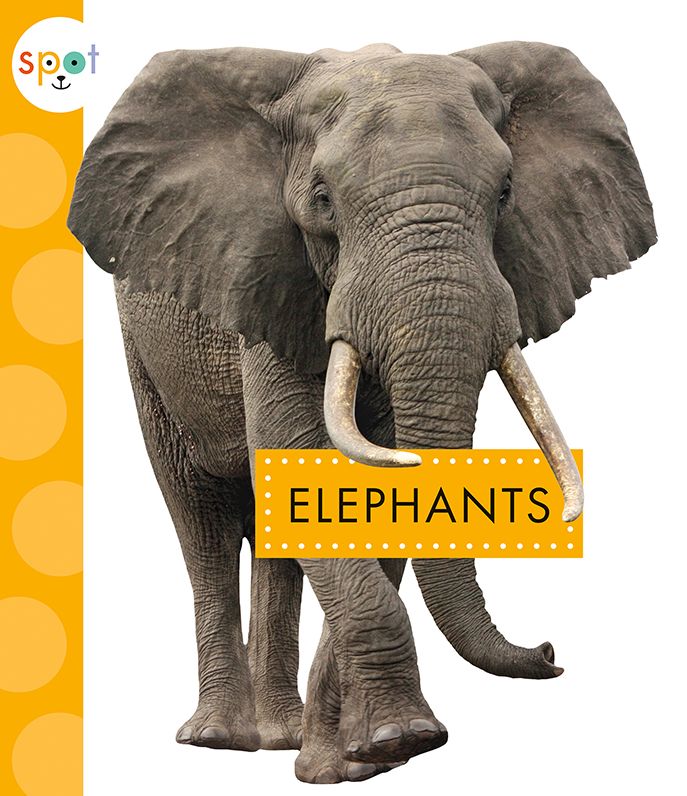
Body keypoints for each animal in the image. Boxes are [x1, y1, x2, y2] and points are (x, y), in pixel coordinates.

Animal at [68, 42, 655, 783]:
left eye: (505, 194)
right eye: (322, 200)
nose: (549, 651)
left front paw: (354, 763)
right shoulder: (269, 281)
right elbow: (300, 462)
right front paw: (398, 740)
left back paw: (281, 738)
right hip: (146, 346)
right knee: (199, 513)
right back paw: (216, 739)